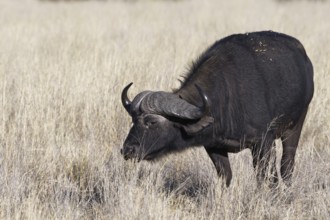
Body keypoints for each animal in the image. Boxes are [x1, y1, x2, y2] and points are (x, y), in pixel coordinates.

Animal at [120, 30, 314, 186]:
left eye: (151, 121)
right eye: (133, 121)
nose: (127, 150)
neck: (223, 100)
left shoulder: (263, 142)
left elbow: (267, 177)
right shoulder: (214, 147)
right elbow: (225, 176)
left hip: (295, 125)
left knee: (287, 165)